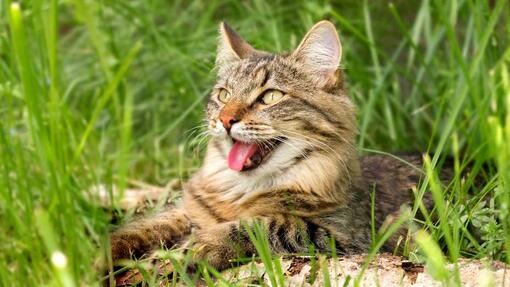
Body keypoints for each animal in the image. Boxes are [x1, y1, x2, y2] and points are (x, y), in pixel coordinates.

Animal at [109, 20, 436, 282]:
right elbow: (142, 227)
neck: (241, 189)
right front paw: (104, 254)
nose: (224, 120)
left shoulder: (344, 235)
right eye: (223, 95)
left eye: (270, 97)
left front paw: (190, 250)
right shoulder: (186, 211)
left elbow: (261, 225)